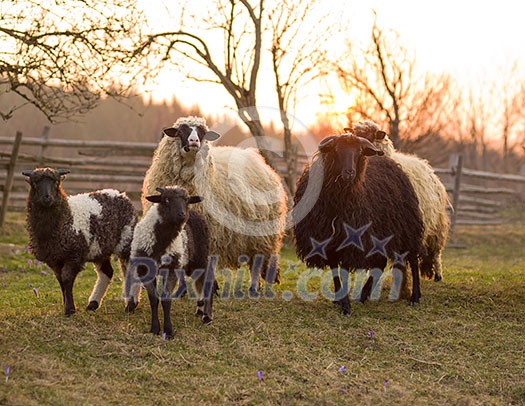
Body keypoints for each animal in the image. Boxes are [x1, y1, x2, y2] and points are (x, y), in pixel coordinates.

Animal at [22, 167, 137, 316]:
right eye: (34, 183)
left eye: (56, 182)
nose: (47, 197)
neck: (65, 217)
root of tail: (119, 194)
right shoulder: (54, 259)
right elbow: (60, 280)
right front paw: (66, 305)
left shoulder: (74, 255)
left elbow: (66, 279)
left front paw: (70, 309)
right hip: (100, 248)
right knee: (107, 272)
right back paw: (93, 304)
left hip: (127, 241)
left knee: (132, 270)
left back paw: (131, 305)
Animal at [292, 133, 424, 314]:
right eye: (336, 149)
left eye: (359, 151)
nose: (349, 172)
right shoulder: (327, 242)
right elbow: (335, 272)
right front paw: (339, 299)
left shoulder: (351, 241)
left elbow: (344, 272)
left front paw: (346, 306)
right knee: (380, 263)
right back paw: (363, 296)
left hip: (407, 229)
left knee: (413, 260)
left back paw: (415, 297)